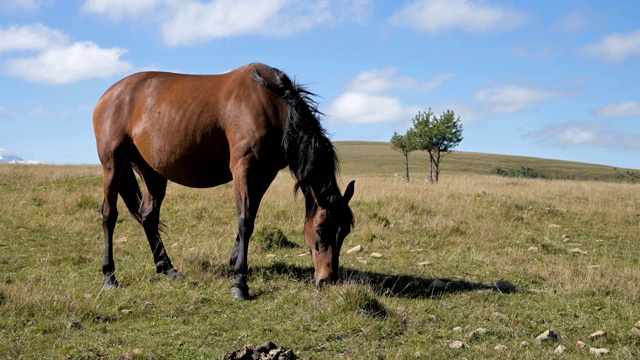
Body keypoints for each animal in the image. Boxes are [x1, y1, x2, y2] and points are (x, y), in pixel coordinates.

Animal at [94, 63, 356, 300]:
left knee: (148, 216)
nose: (328, 279)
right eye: (321, 230)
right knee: (109, 215)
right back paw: (109, 277)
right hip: (113, 163)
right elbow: (245, 220)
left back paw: (166, 268)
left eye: (344, 232)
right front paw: (240, 283)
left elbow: (251, 218)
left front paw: (235, 259)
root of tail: (108, 96)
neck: (274, 103)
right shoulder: (243, 167)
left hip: (152, 171)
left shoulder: (265, 173)